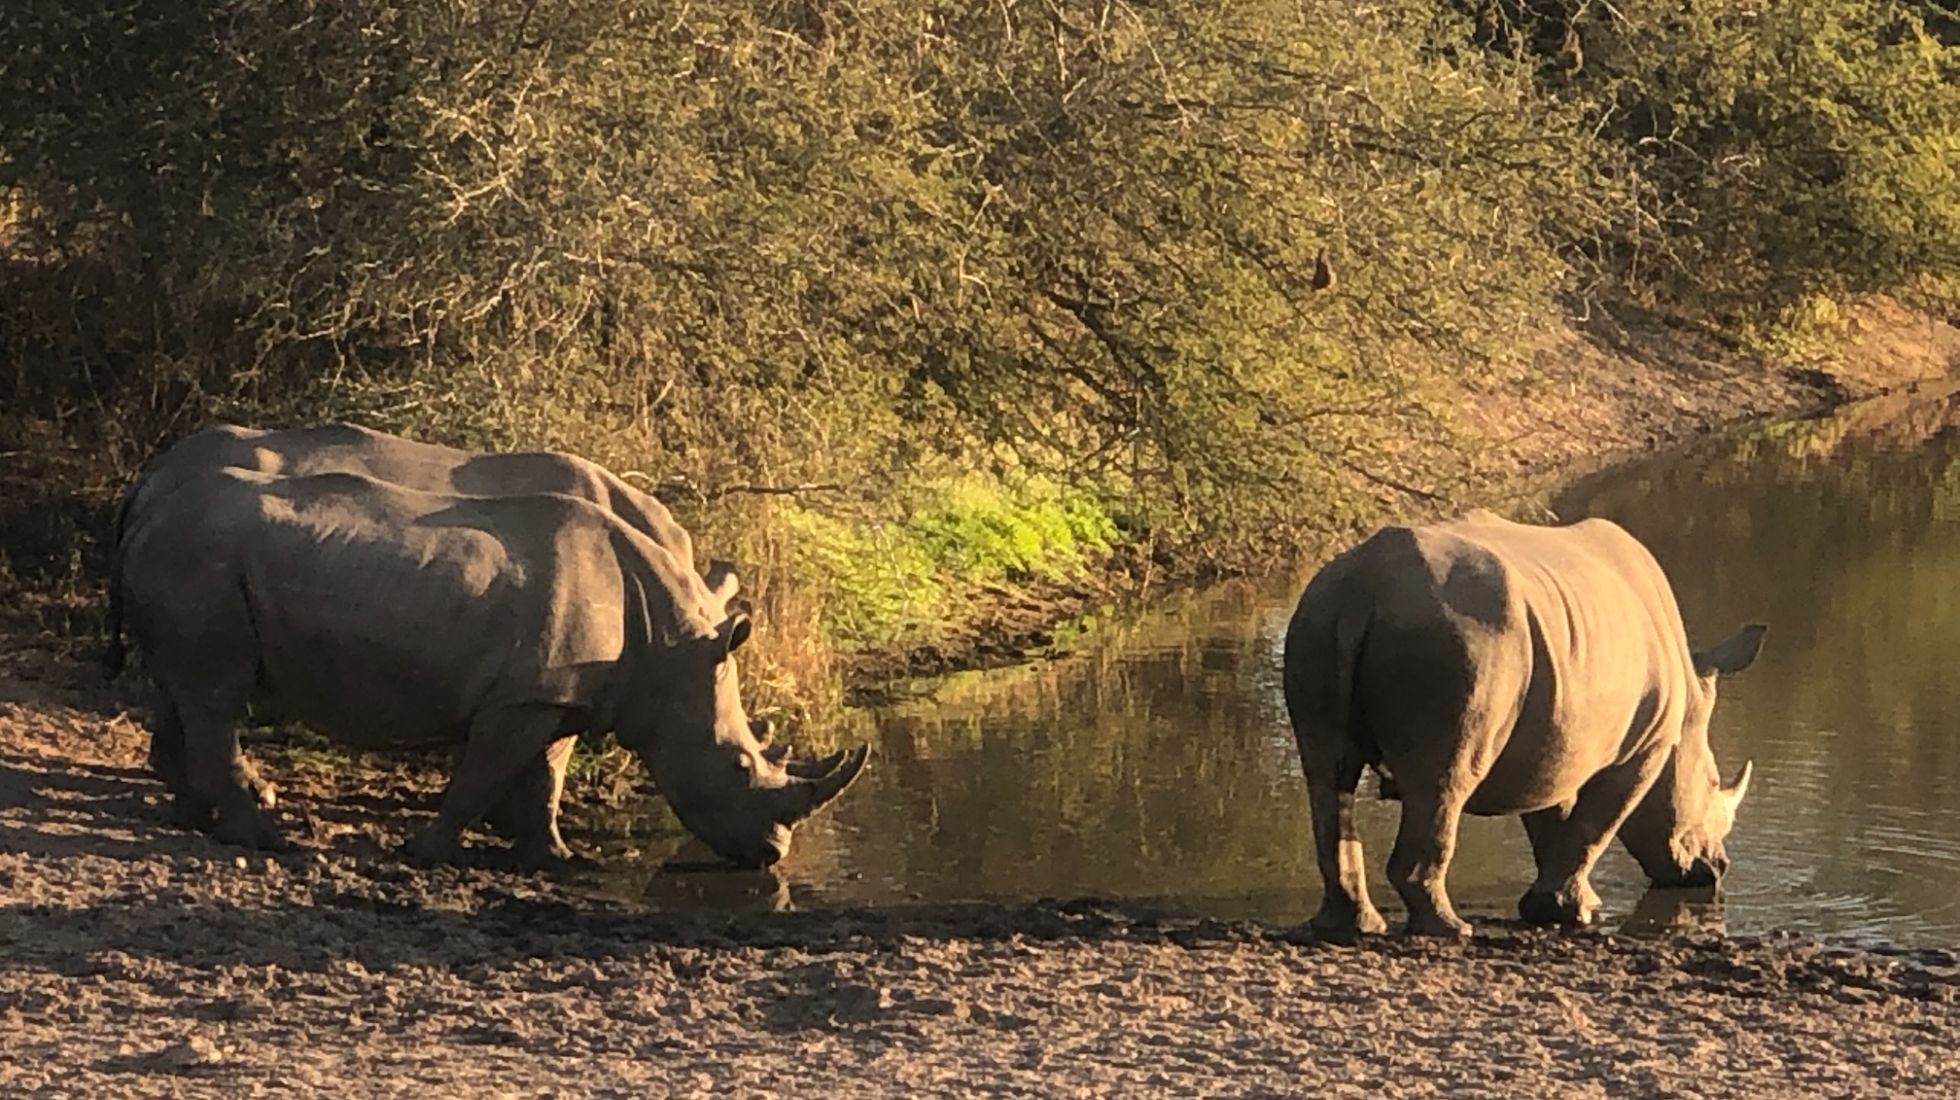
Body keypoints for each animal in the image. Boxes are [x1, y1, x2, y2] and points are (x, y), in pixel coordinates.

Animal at [116, 466, 867, 867]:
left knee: (188, 687)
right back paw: (266, 840)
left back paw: (196, 818)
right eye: (738, 765)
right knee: (216, 694)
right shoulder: (525, 697)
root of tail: (150, 501)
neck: (671, 651)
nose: (773, 854)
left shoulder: (561, 694)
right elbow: (481, 776)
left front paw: (556, 860)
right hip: (203, 556)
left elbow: (547, 776)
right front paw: (423, 851)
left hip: (198, 557)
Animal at [1282, 509, 1762, 938]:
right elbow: (1595, 824)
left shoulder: (1556, 730)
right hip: (1462, 641)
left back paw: (1351, 927)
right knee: (1442, 784)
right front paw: (1572, 911)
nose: (1717, 869)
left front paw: (1564, 906)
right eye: (1713, 783)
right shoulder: (1646, 747)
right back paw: (1452, 930)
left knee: (1328, 774)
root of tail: (1364, 588)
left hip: (1317, 620)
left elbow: (1552, 815)